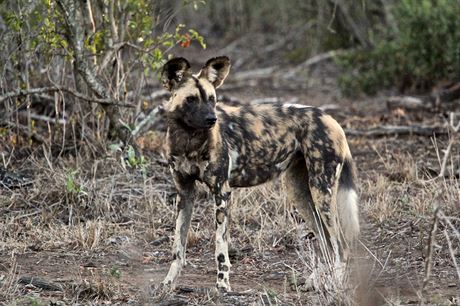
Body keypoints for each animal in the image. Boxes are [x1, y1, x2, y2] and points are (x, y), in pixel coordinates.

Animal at [158, 55, 360, 292]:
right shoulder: (185, 193)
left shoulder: (221, 192)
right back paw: (315, 282)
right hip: (300, 194)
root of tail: (331, 119)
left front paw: (223, 286)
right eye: (191, 99)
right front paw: (167, 283)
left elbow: (220, 248)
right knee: (327, 243)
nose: (211, 119)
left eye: (212, 99)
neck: (189, 140)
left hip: (321, 192)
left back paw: (335, 284)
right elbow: (177, 248)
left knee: (341, 245)